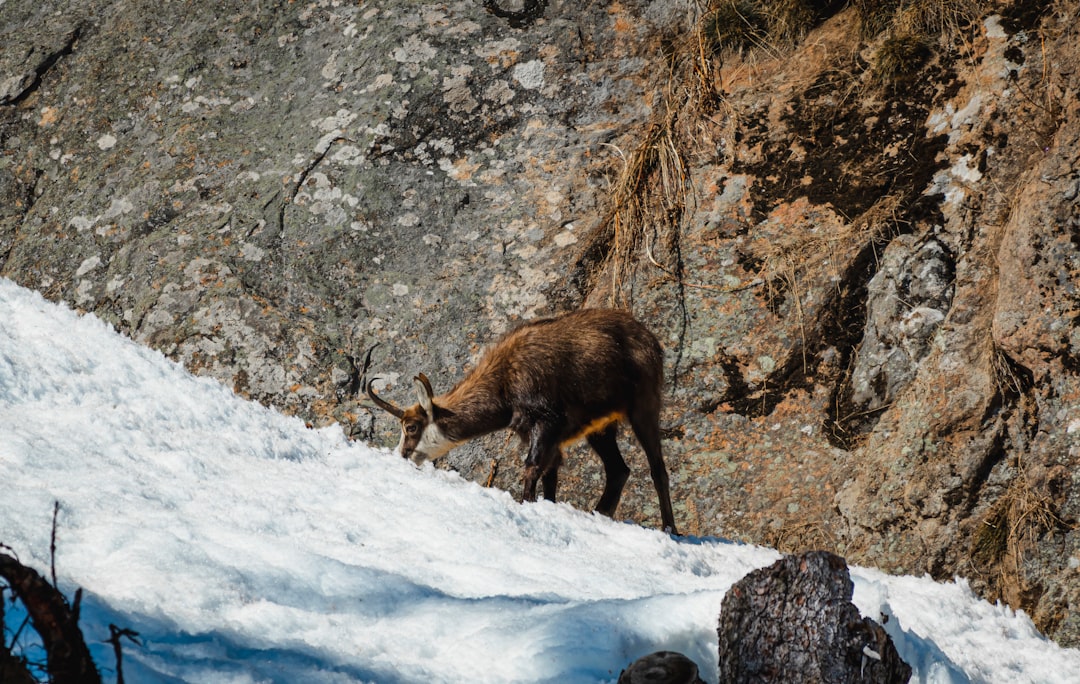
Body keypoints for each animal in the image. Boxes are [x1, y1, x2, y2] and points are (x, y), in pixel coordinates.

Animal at [367, 309, 678, 533]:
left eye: (411, 427)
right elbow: (550, 474)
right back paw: (600, 513)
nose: (403, 455)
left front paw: (526, 505)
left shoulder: (547, 423)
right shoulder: (539, 434)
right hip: (600, 428)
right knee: (618, 470)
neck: (505, 382)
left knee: (657, 468)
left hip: (644, 406)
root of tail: (650, 339)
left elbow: (532, 468)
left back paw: (670, 529)